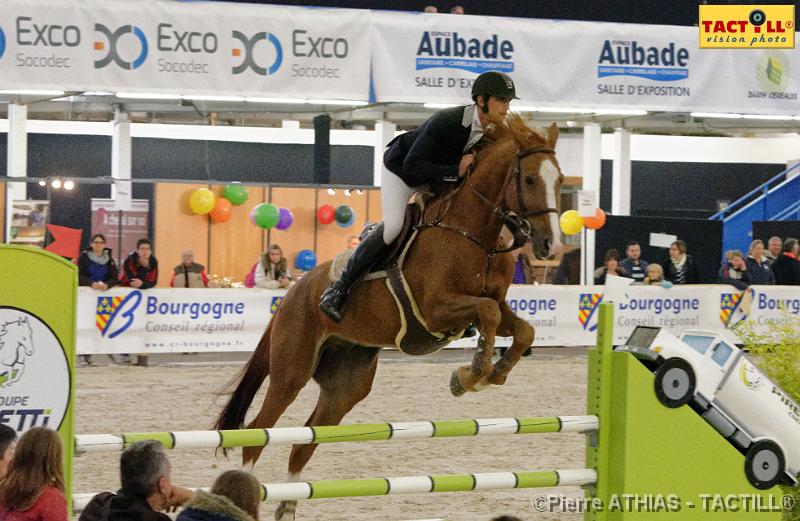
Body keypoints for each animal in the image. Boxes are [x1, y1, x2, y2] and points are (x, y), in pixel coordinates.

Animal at [212, 115, 564, 520]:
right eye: (530, 180)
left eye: (560, 179)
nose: (550, 245)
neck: (474, 234)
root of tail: (290, 295)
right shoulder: (435, 308)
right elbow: (488, 316)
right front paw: (472, 374)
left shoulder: (495, 305)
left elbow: (522, 330)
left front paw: (493, 373)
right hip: (291, 373)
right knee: (257, 434)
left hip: (346, 386)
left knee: (303, 442)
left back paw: (287, 507)